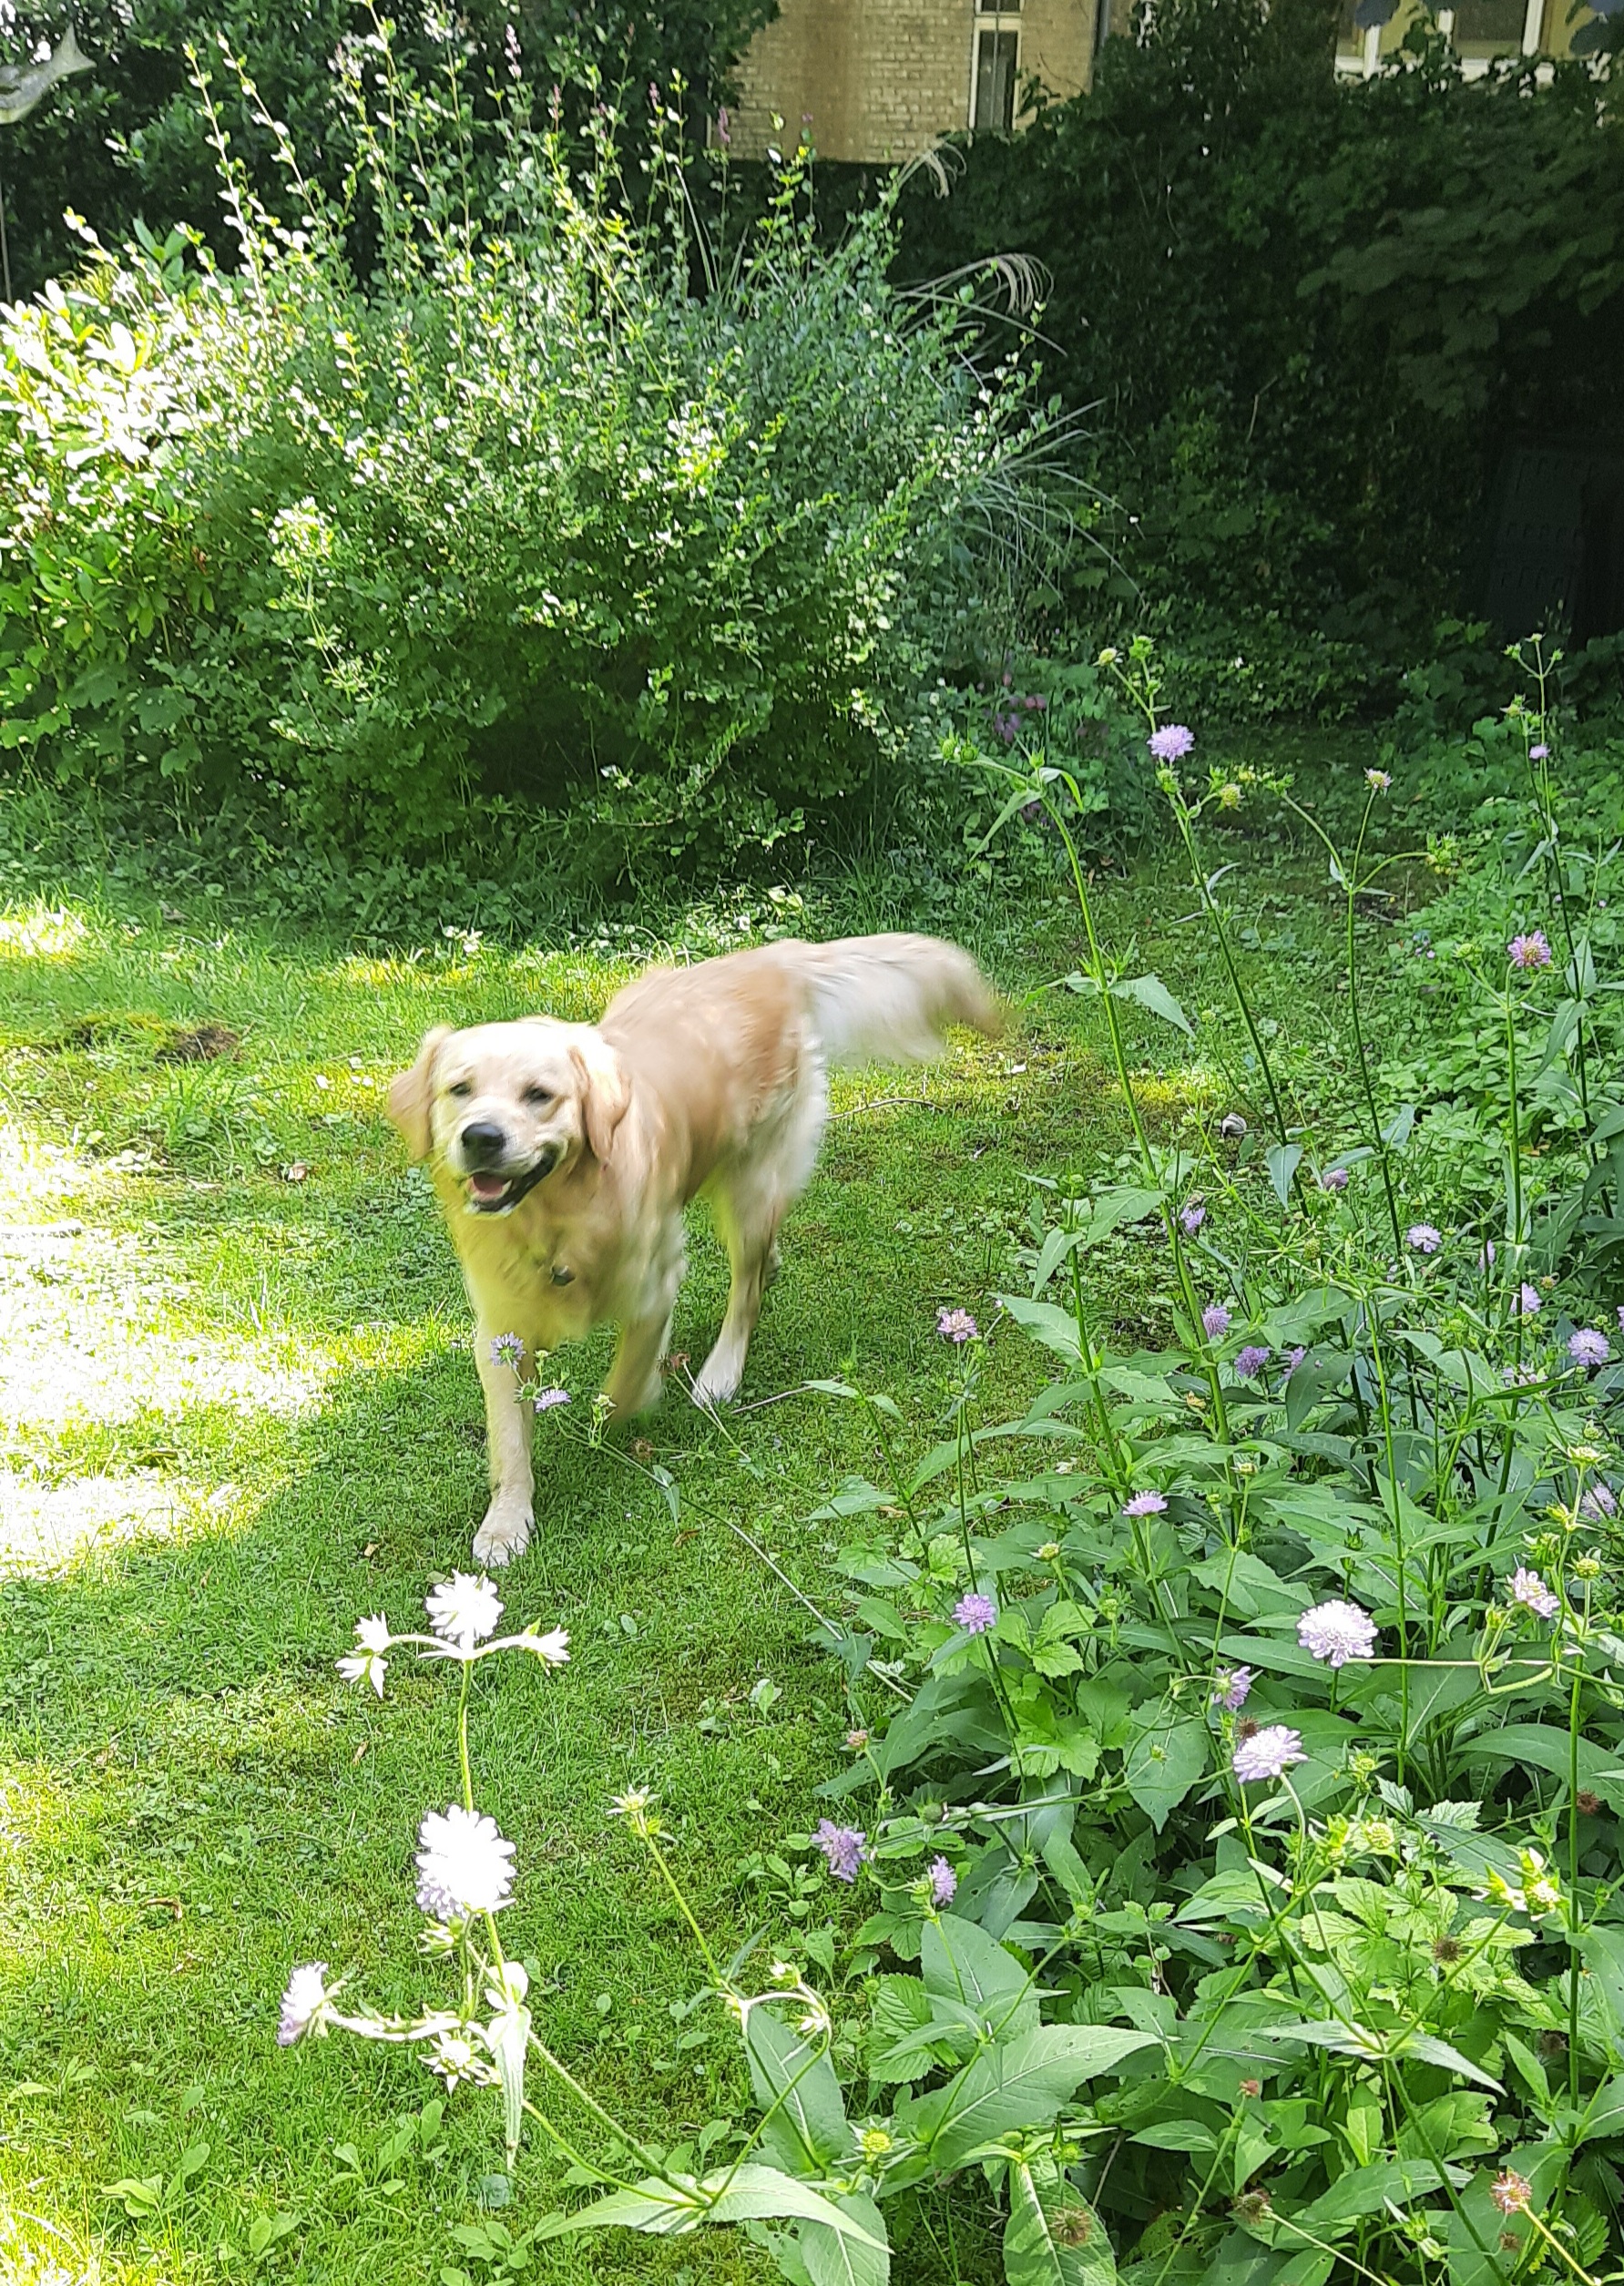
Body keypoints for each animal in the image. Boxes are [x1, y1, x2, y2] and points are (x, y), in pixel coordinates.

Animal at [387, 933, 1001, 1565]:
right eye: (459, 1090)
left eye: (539, 1096)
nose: (481, 1137)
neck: (559, 1218)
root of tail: (772, 957)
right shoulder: (500, 1330)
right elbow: (509, 1438)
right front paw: (505, 1522)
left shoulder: (654, 1284)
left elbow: (624, 1385)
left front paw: (619, 1417)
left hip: (752, 1183)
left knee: (746, 1287)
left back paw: (719, 1375)